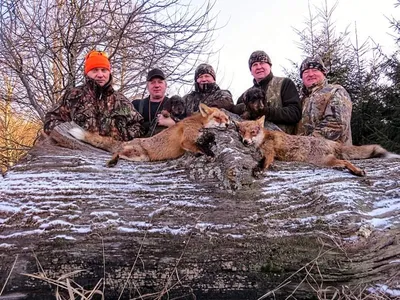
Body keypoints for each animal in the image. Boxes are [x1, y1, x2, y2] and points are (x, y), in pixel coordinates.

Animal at [69, 102, 228, 165]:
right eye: (218, 118)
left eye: (226, 118)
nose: (227, 124)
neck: (198, 122)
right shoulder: (186, 140)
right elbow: (198, 147)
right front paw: (209, 153)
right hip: (141, 155)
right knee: (117, 153)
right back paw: (112, 161)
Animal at [234, 114, 400, 176]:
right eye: (241, 132)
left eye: (253, 132)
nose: (245, 141)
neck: (263, 139)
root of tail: (331, 142)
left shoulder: (269, 153)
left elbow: (265, 162)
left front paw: (259, 170)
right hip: (327, 161)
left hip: (323, 161)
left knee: (346, 161)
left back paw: (357, 171)